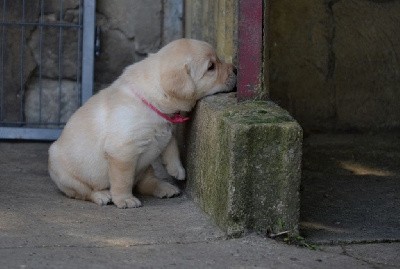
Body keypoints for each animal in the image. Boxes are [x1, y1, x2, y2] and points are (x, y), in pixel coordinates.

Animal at [48, 38, 236, 207]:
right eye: (211, 67)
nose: (236, 69)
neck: (152, 101)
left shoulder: (166, 130)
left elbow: (172, 146)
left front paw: (177, 169)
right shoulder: (123, 152)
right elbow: (123, 180)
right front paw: (124, 199)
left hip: (146, 167)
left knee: (145, 182)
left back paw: (165, 187)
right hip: (66, 176)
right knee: (84, 192)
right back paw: (102, 195)